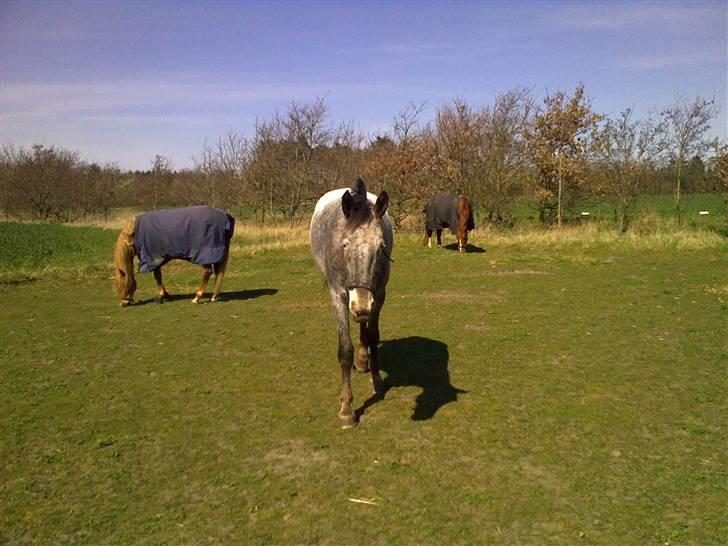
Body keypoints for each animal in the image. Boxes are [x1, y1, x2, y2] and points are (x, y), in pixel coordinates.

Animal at [312, 177, 396, 424]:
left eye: (381, 246)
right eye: (345, 245)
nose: (361, 306)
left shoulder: (379, 293)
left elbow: (373, 335)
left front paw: (377, 381)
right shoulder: (338, 295)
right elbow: (345, 351)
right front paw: (347, 409)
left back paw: (363, 359)